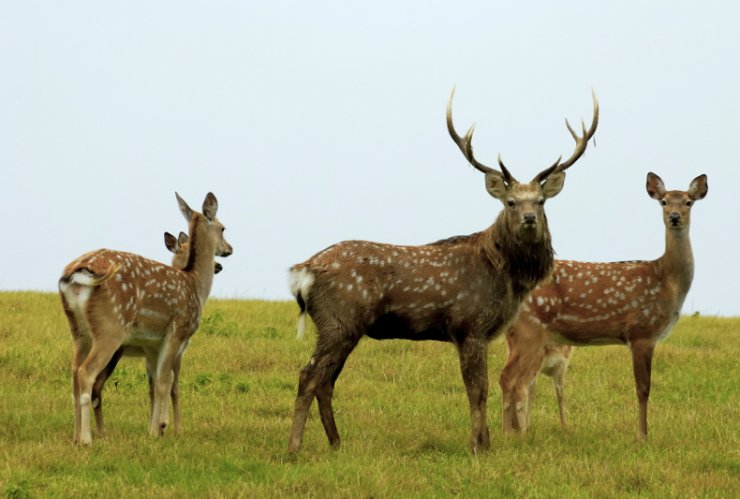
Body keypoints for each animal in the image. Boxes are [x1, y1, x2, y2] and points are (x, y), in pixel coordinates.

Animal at [58, 192, 231, 446]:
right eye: (223, 228)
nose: (228, 250)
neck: (195, 285)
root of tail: (75, 274)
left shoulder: (151, 345)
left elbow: (155, 384)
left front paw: (157, 427)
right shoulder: (178, 333)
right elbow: (166, 383)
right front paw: (161, 430)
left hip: (78, 331)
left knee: (74, 374)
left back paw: (76, 437)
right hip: (110, 328)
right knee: (86, 373)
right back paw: (88, 439)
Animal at [286, 88, 600, 456]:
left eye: (541, 201)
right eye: (509, 201)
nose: (528, 219)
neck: (505, 278)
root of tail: (305, 270)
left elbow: (480, 388)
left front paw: (485, 442)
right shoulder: (469, 325)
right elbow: (478, 389)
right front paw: (479, 446)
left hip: (341, 327)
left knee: (326, 380)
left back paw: (336, 443)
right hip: (338, 320)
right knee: (309, 375)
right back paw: (294, 447)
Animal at [500, 172, 708, 438]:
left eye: (688, 202)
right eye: (663, 202)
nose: (674, 217)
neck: (667, 281)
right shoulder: (642, 330)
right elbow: (643, 388)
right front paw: (643, 436)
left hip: (520, 335)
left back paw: (513, 432)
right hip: (529, 330)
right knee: (510, 378)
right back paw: (510, 435)